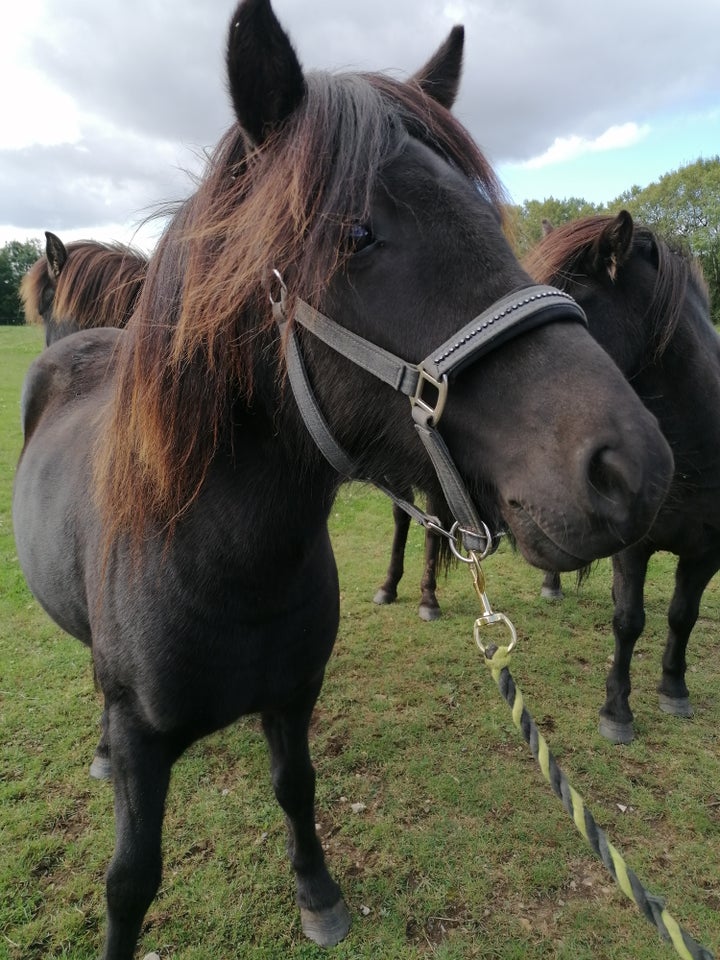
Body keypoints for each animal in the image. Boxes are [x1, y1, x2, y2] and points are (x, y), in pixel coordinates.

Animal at [12, 3, 676, 956]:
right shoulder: (143, 742)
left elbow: (297, 790)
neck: (226, 567)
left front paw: (318, 893)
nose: (636, 467)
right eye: (356, 234)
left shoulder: (295, 699)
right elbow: (129, 882)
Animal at [524, 214, 716, 748]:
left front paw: (674, 689)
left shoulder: (707, 550)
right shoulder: (634, 548)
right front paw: (617, 711)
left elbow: (683, 615)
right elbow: (629, 621)